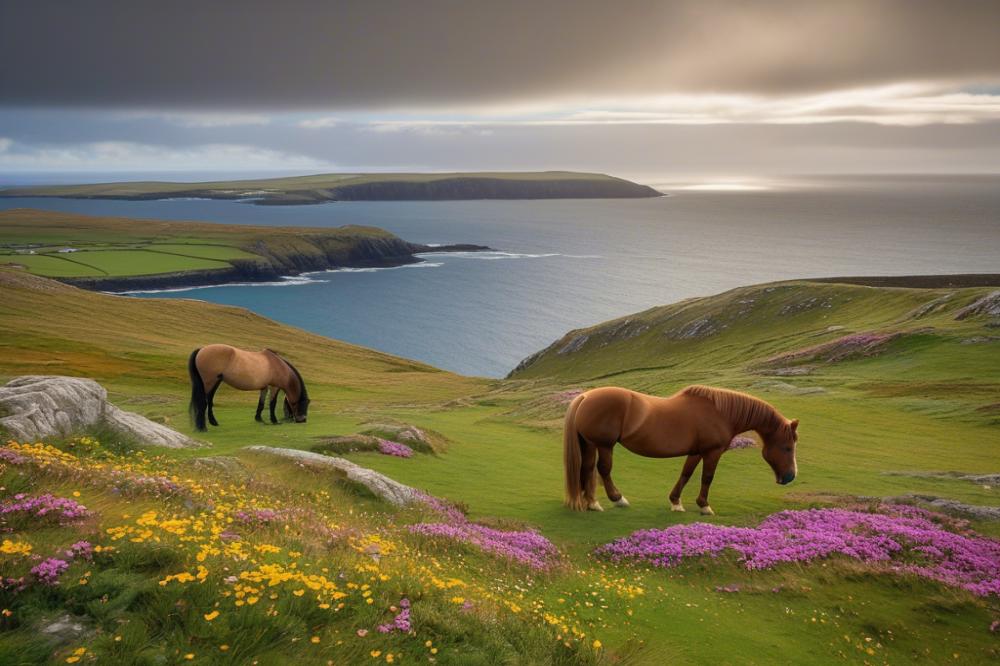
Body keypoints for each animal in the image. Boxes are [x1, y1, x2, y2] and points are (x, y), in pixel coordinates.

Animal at [563, 385, 798, 515]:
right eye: (787, 448)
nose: (790, 477)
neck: (721, 413)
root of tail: (585, 397)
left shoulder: (696, 452)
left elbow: (686, 474)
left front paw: (676, 502)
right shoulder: (713, 452)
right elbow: (707, 477)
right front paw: (704, 506)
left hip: (590, 444)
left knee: (587, 469)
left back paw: (591, 502)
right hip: (604, 445)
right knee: (602, 470)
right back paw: (616, 499)